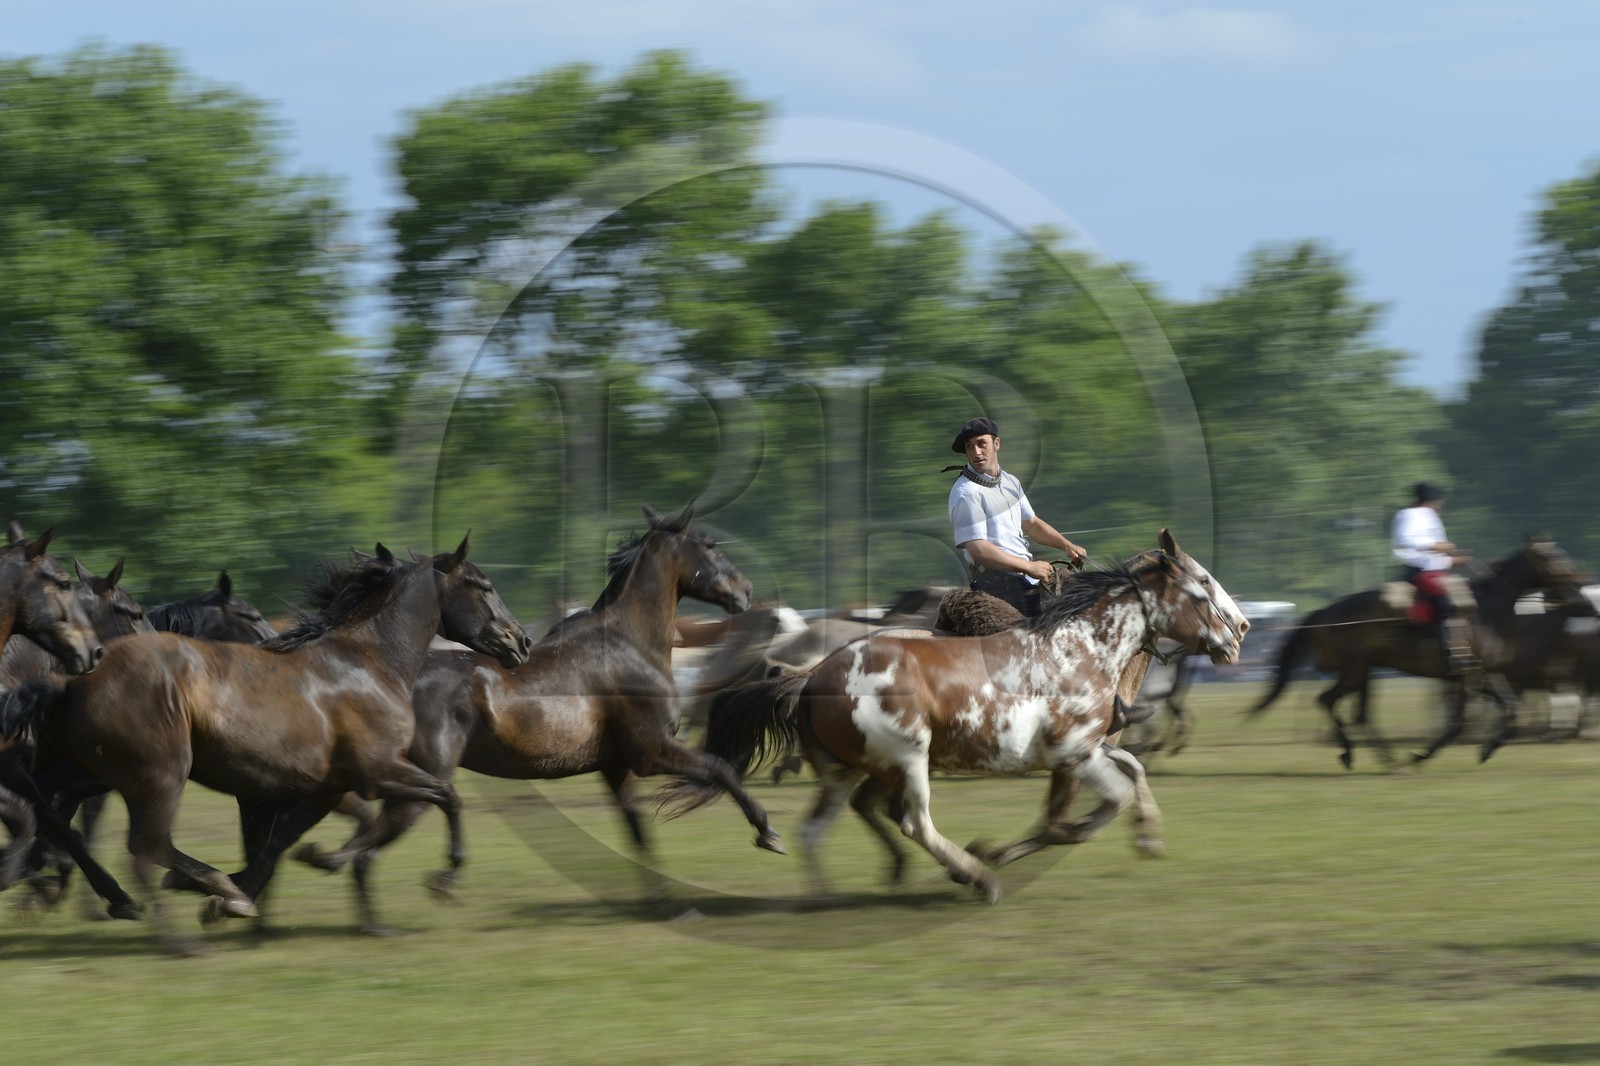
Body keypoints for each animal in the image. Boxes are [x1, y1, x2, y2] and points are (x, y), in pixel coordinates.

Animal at [11, 535, 531, 955]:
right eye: (483, 585)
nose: (521, 641)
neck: (368, 663)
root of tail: (71, 679)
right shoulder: (379, 770)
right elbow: (448, 796)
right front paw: (445, 878)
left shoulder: (322, 787)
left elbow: (284, 841)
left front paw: (279, 885)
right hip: (161, 775)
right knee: (142, 847)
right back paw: (180, 933)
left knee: (81, 824)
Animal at [658, 531, 1246, 905]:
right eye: (1201, 588)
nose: (1239, 632)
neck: (1082, 647)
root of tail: (811, 676)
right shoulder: (1074, 754)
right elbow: (1093, 808)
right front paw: (1001, 851)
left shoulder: (1087, 751)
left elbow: (1123, 778)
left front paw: (1145, 834)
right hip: (907, 758)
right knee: (912, 820)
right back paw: (975, 876)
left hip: (849, 769)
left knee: (817, 828)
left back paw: (829, 896)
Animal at [1249, 537, 1587, 769]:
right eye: (1554, 557)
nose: (1582, 586)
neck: (1484, 611)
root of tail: (1324, 613)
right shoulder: (1467, 677)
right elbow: (1457, 723)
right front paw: (1421, 755)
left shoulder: (1485, 675)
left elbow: (1511, 707)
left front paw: (1487, 748)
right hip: (1355, 671)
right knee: (1328, 701)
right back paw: (1350, 753)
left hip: (1364, 672)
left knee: (1358, 714)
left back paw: (1385, 758)